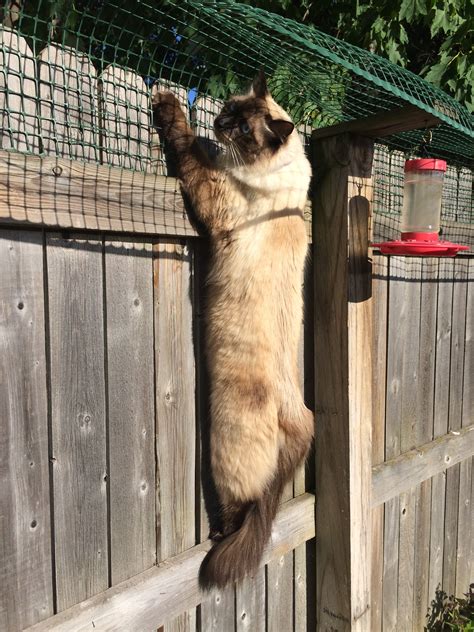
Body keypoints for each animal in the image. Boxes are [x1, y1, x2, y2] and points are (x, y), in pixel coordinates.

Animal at [154, 73, 312, 588]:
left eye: (244, 129)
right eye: (228, 109)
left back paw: (220, 538)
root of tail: (298, 416)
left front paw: (168, 105)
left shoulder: (212, 192)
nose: (220, 125)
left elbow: (187, 146)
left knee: (242, 510)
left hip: (225, 453)